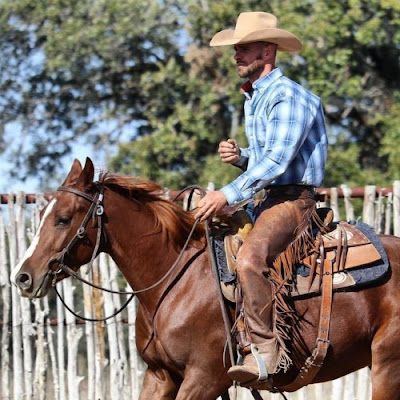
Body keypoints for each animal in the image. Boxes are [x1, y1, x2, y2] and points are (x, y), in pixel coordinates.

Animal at [10, 157, 400, 400]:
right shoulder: (160, 375)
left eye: (63, 218)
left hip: (386, 365)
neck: (174, 279)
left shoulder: (205, 378)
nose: (23, 277)